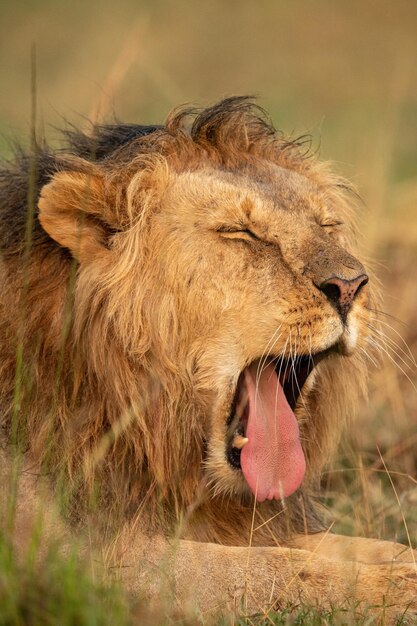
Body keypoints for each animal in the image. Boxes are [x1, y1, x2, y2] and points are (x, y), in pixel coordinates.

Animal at [0, 97, 414, 620]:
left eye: (327, 226)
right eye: (241, 232)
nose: (351, 285)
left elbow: (356, 546)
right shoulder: (88, 561)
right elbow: (280, 570)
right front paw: (398, 592)